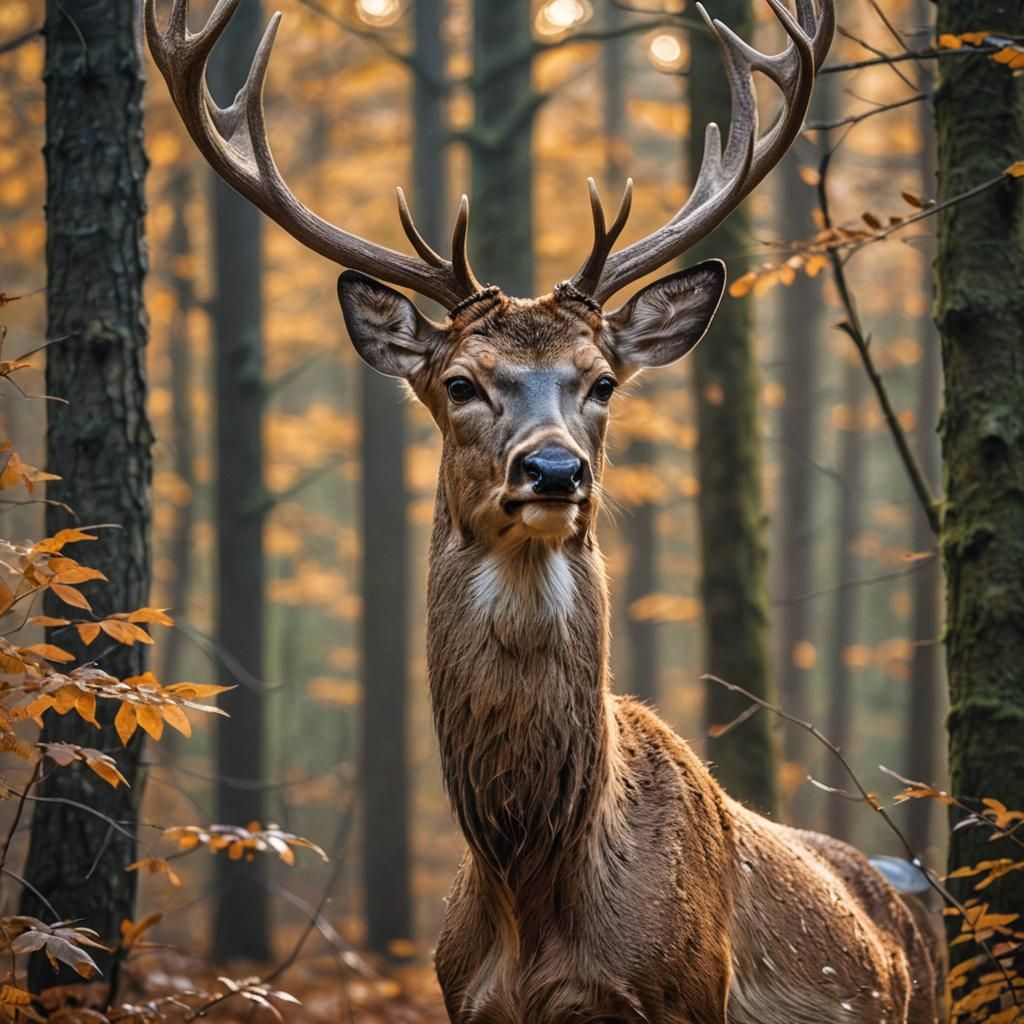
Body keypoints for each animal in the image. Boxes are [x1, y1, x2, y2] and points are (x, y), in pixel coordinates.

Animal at [146, 0, 943, 1020]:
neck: (530, 888)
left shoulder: (685, 996)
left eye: (601, 381)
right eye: (460, 382)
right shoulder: (463, 997)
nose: (555, 470)